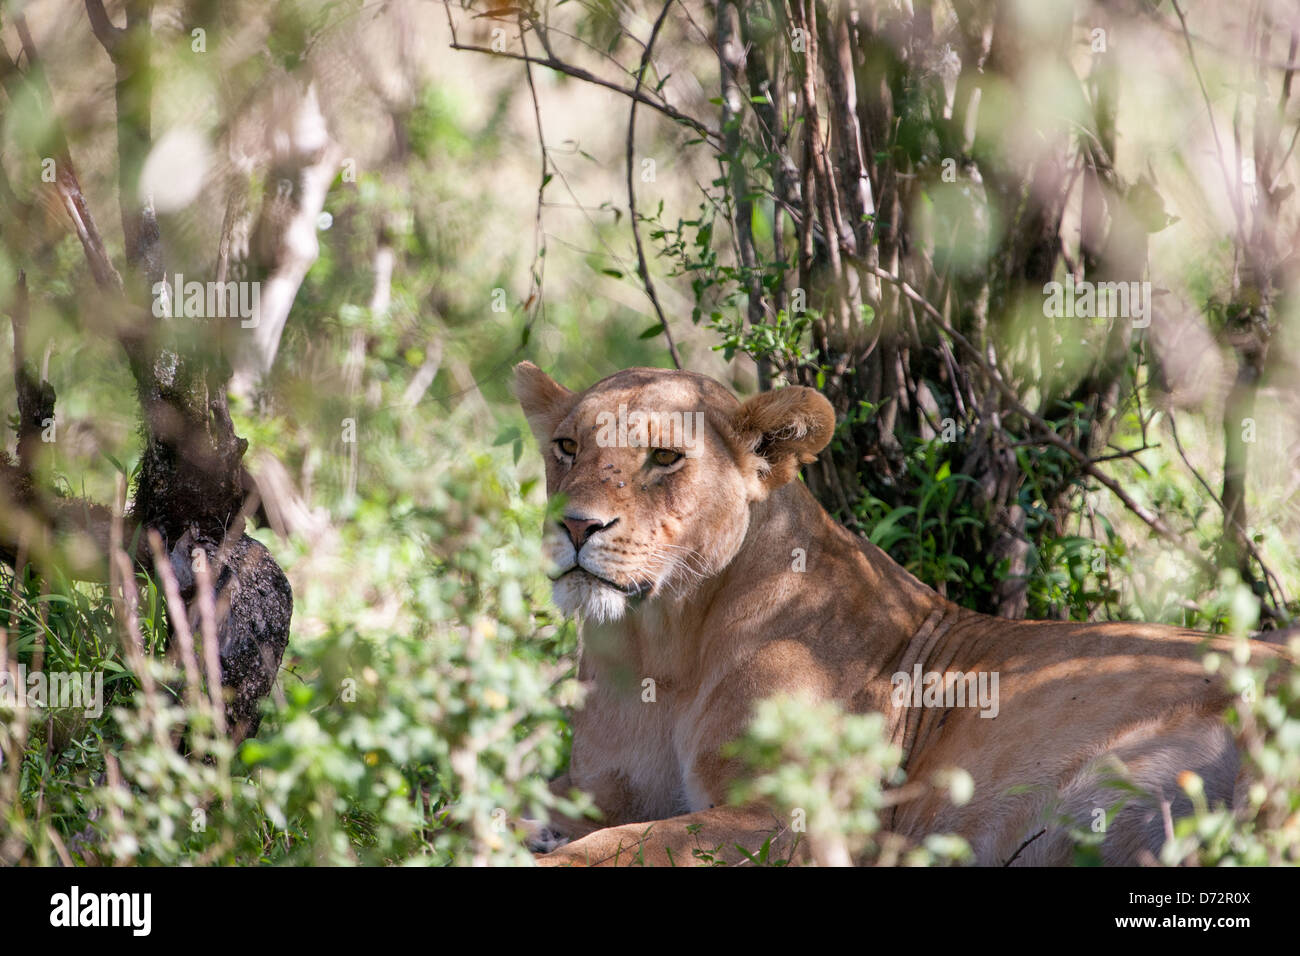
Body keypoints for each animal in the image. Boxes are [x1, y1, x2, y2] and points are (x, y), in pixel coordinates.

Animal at [514, 361, 1290, 866]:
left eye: (664, 458)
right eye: (566, 447)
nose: (575, 526)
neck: (666, 645)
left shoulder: (797, 821)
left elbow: (627, 843)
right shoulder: (593, 787)